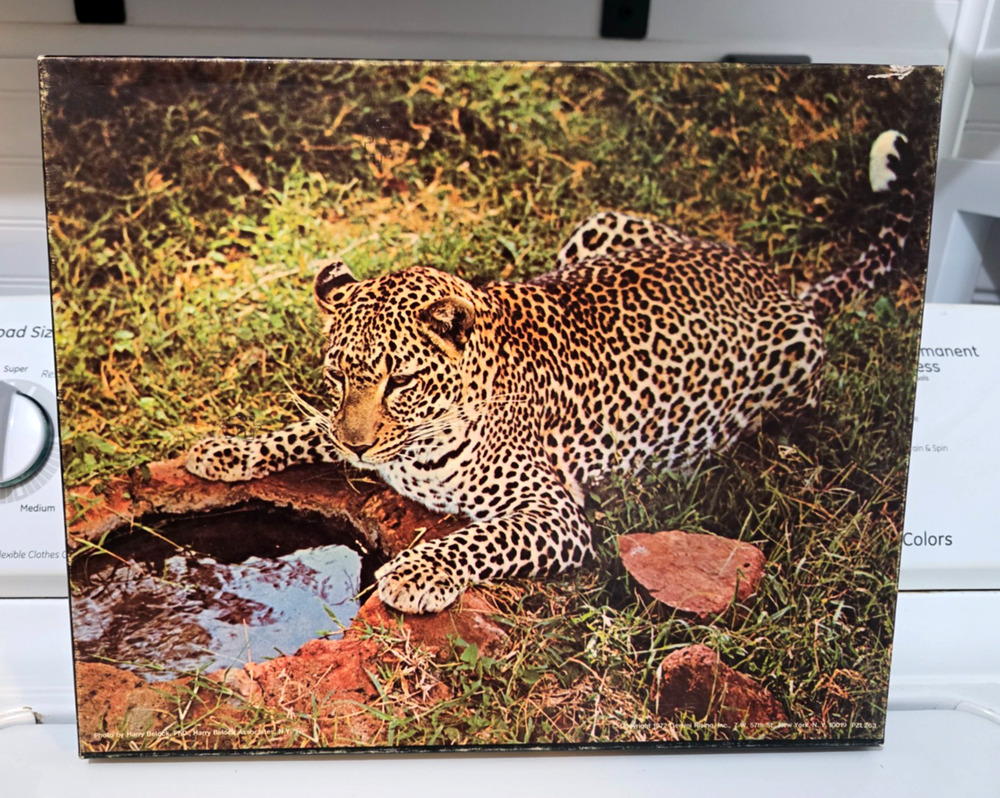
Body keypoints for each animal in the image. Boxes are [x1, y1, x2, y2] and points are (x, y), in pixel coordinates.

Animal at [186, 130, 915, 614]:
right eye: (339, 375)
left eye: (402, 381)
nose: (360, 446)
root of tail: (777, 281)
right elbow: (307, 429)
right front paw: (227, 450)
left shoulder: (555, 513)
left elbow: (480, 537)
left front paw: (417, 574)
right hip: (601, 224)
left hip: (792, 376)